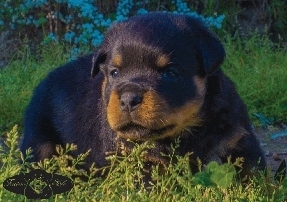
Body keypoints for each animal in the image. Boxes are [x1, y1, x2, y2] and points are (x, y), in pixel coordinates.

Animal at [21, 12, 266, 178]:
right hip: (38, 140)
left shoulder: (239, 139)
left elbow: (255, 175)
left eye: (170, 73)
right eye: (115, 73)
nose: (128, 99)